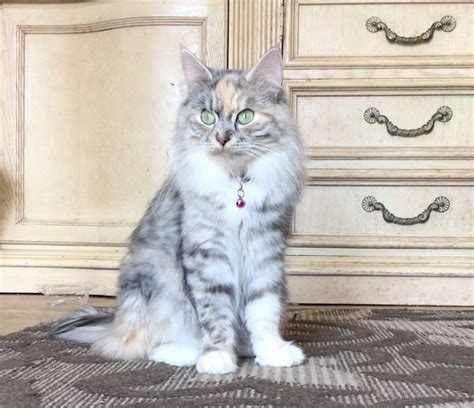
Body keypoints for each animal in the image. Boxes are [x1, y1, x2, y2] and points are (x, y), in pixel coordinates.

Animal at [51, 47, 304, 372]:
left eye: (245, 116)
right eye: (207, 117)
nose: (222, 138)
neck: (236, 185)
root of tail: (115, 322)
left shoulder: (265, 251)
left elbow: (263, 310)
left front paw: (272, 352)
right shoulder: (207, 254)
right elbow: (214, 312)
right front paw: (217, 357)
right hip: (154, 280)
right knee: (142, 344)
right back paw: (187, 354)